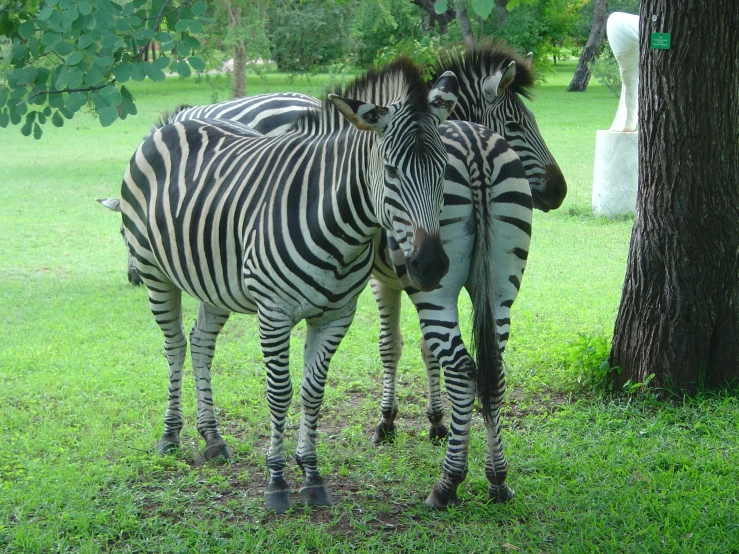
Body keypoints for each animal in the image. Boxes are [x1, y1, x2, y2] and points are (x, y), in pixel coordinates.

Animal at [118, 58, 460, 512]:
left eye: (444, 169)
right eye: (390, 170)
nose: (432, 265)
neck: (338, 223)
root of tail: (172, 124)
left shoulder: (336, 316)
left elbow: (313, 392)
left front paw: (311, 475)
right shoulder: (274, 313)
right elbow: (279, 392)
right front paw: (277, 481)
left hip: (215, 282)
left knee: (200, 342)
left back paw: (212, 437)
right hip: (155, 270)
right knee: (174, 346)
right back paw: (170, 434)